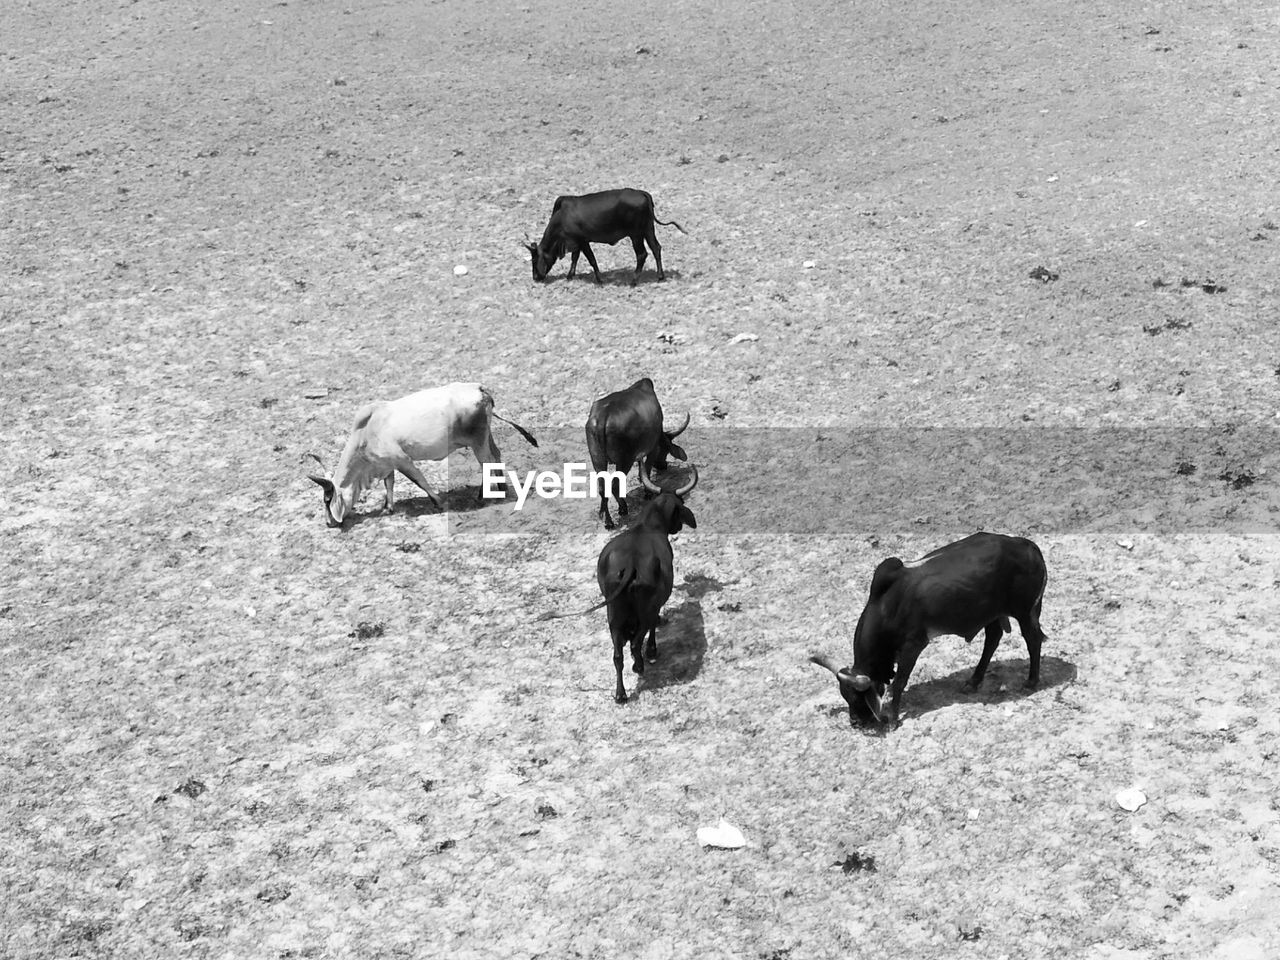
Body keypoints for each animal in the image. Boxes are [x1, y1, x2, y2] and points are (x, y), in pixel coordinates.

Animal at [524, 188, 686, 285]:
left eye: (534, 260)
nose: (535, 278)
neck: (561, 217)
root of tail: (642, 193)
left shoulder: (583, 241)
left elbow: (591, 260)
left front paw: (600, 279)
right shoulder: (577, 242)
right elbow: (575, 258)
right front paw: (570, 275)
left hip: (636, 235)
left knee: (642, 254)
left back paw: (633, 281)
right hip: (648, 230)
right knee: (656, 248)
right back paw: (660, 277)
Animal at [540, 465, 701, 706]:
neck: (647, 527)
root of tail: (630, 566)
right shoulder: (655, 606)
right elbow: (653, 627)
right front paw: (651, 650)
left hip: (613, 618)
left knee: (617, 656)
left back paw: (620, 693)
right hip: (642, 612)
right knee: (635, 642)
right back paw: (639, 666)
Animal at [586, 378, 691, 529]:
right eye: (665, 450)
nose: (662, 466)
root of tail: (603, 417)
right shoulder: (653, 447)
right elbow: (647, 467)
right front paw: (647, 492)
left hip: (598, 459)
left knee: (602, 488)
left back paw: (608, 521)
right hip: (624, 460)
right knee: (615, 485)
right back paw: (623, 509)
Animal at [808, 535, 1049, 727]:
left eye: (859, 698)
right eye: (845, 696)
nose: (855, 722)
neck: (886, 606)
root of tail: (1028, 546)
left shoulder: (913, 644)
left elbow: (900, 682)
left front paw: (893, 719)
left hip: (1025, 612)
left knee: (1033, 639)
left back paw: (1031, 681)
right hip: (990, 614)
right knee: (993, 639)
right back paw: (973, 681)